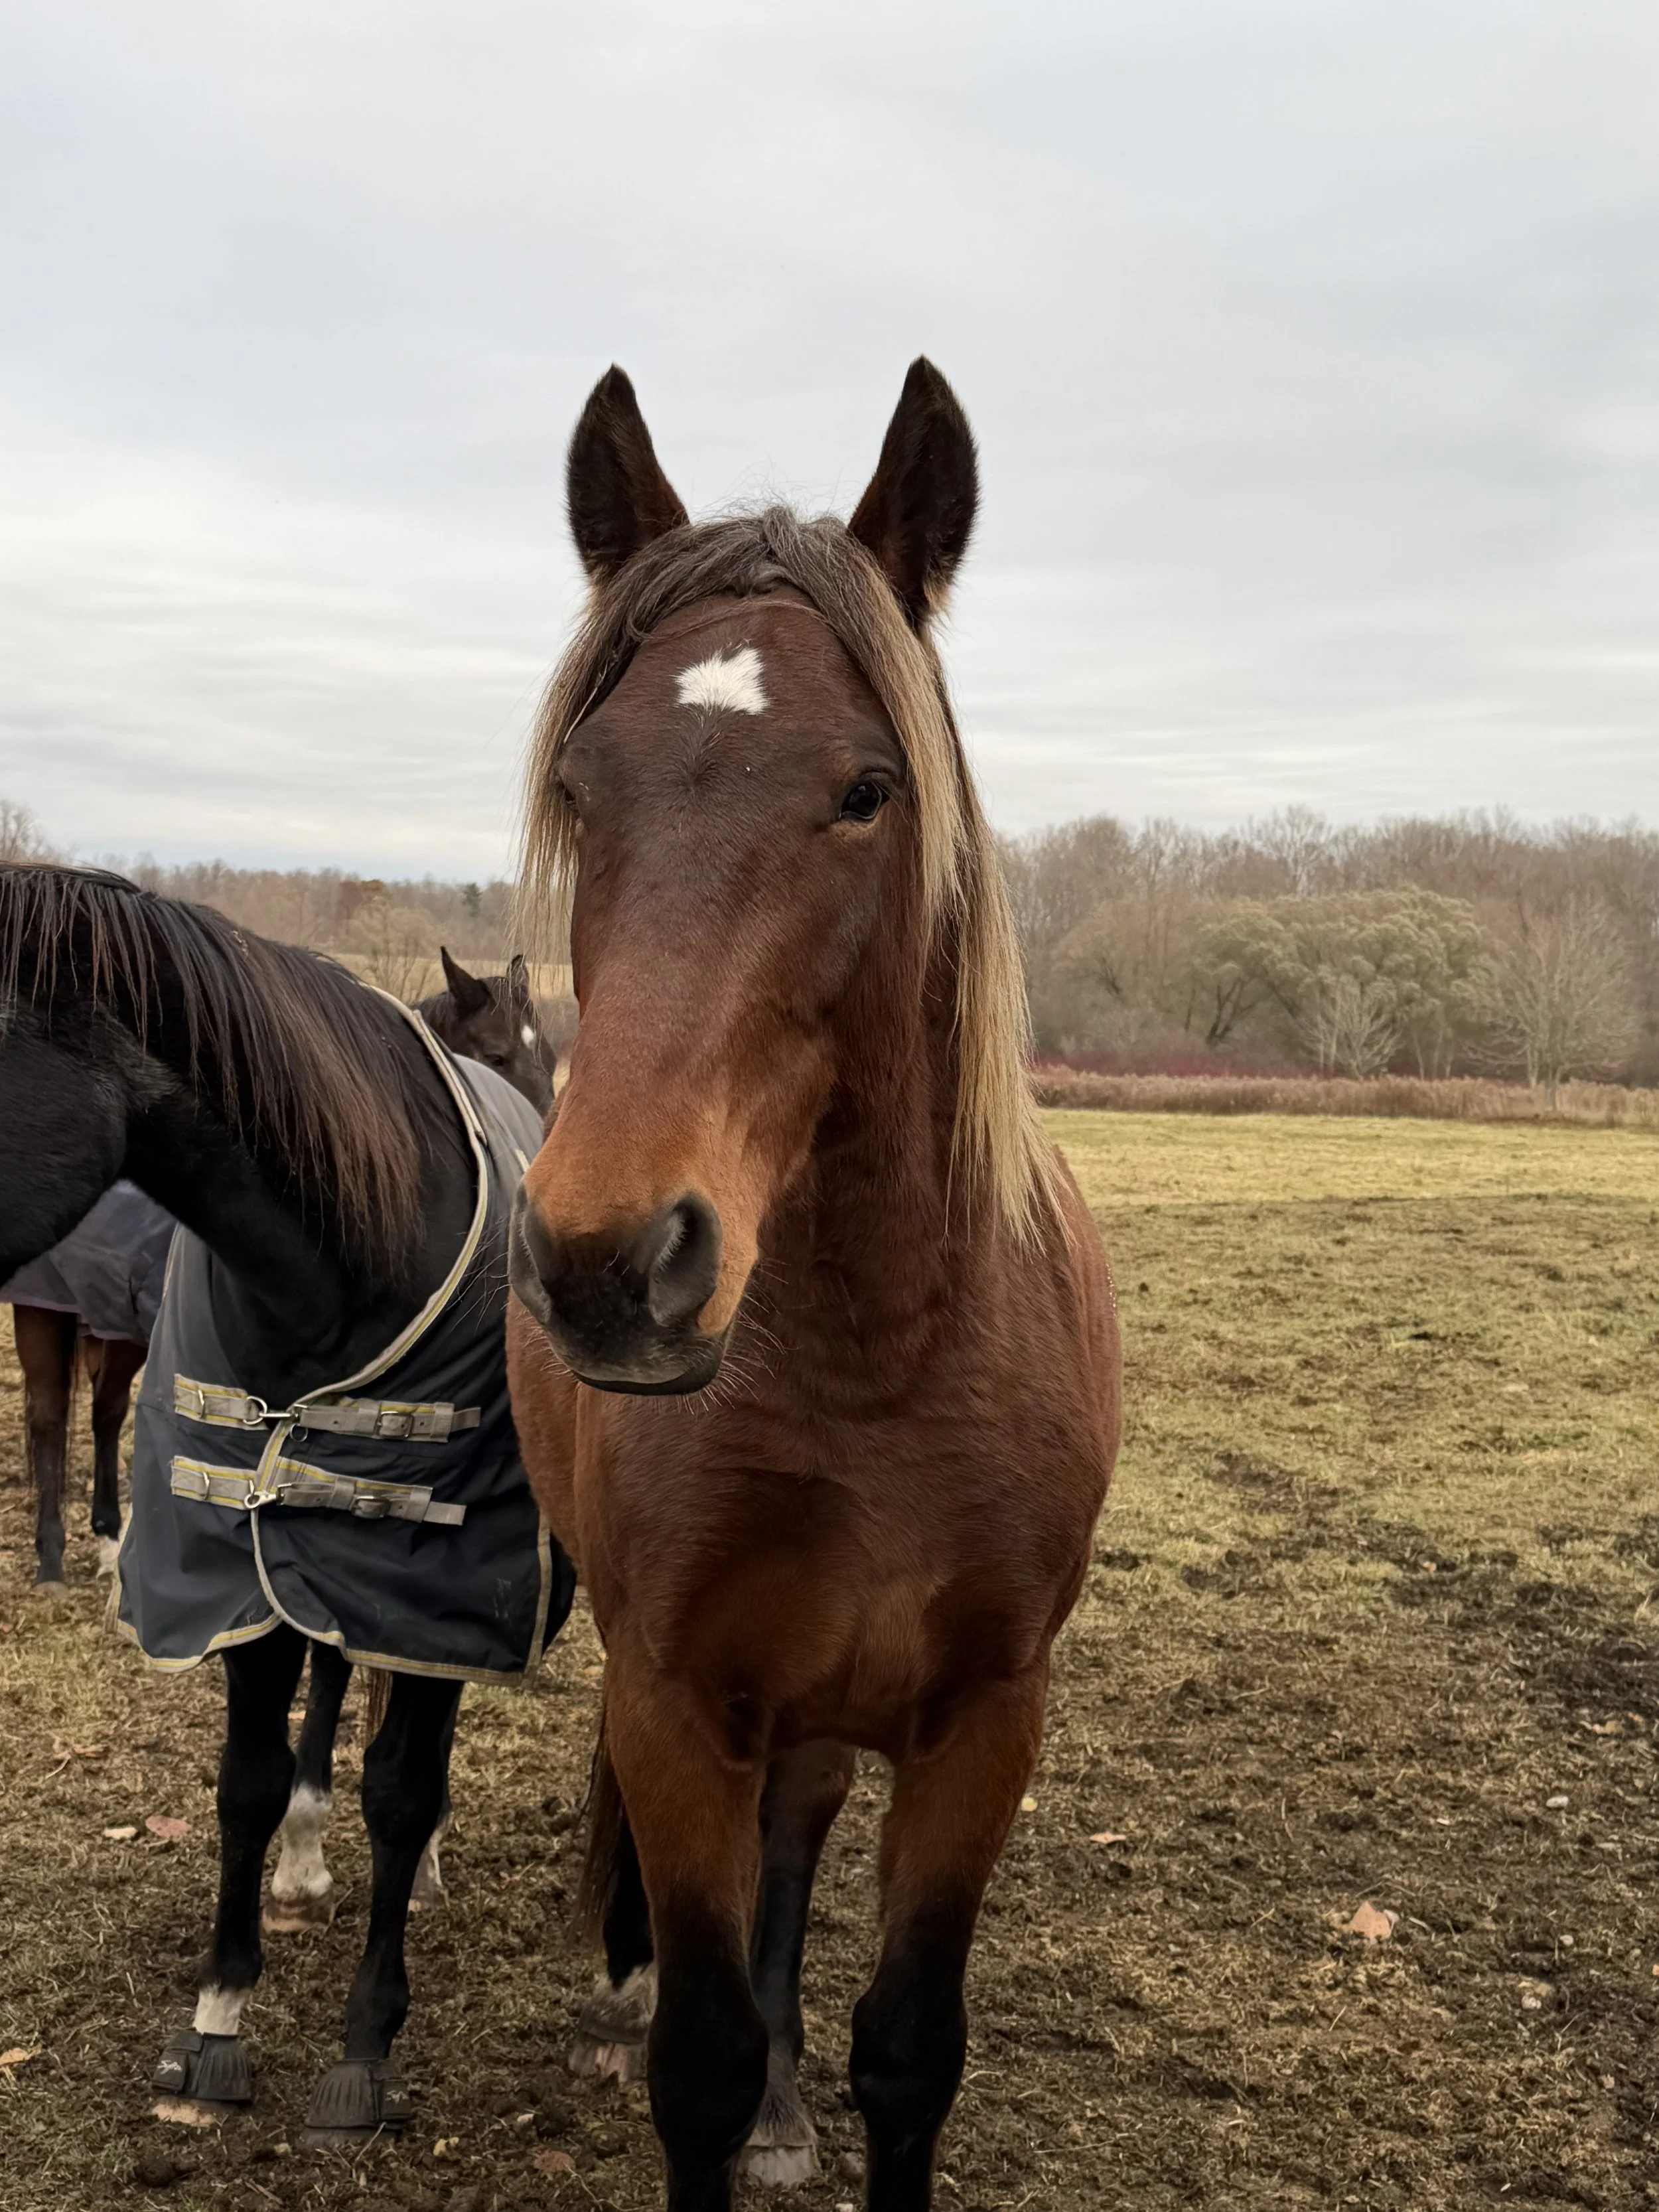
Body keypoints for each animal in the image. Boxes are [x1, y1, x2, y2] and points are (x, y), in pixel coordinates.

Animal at [0, 865, 573, 2141]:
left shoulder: (440, 1585)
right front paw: (218, 2012)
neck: (343, 1266)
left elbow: (403, 1789)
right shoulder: (246, 1559)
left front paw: (365, 2046)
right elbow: (250, 1778)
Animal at [505, 359, 1121, 2211]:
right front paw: (715, 2064)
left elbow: (909, 2052)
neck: (878, 1352)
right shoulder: (674, 1697)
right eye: (583, 786)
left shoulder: (985, 1719)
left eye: (866, 789)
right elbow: (695, 2062)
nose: (608, 1257)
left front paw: (806, 2090)